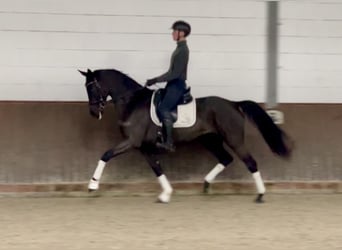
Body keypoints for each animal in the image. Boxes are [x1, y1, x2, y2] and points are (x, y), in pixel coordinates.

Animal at [79, 68, 292, 203]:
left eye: (92, 87)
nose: (93, 112)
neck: (133, 101)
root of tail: (233, 104)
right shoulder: (144, 147)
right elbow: (157, 168)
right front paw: (166, 194)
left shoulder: (132, 141)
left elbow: (106, 155)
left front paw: (92, 185)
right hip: (210, 140)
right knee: (226, 158)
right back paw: (206, 185)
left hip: (234, 140)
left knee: (250, 163)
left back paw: (260, 195)